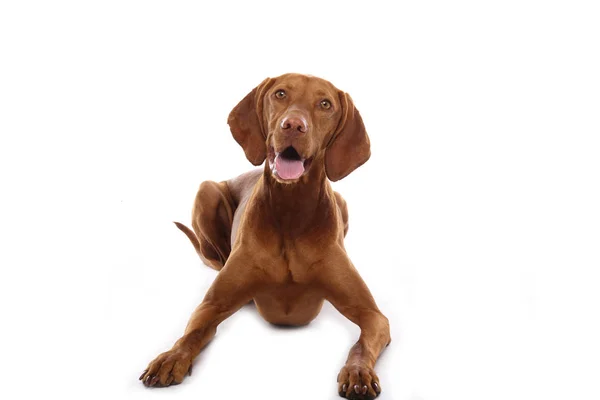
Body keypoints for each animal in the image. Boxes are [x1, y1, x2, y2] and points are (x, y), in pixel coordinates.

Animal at [141, 73, 394, 398]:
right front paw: (171, 357)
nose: (293, 125)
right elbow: (192, 333)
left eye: (325, 104)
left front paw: (358, 371)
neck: (290, 212)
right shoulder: (211, 305)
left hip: (342, 201)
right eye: (280, 94)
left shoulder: (372, 314)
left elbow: (361, 344)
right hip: (207, 190)